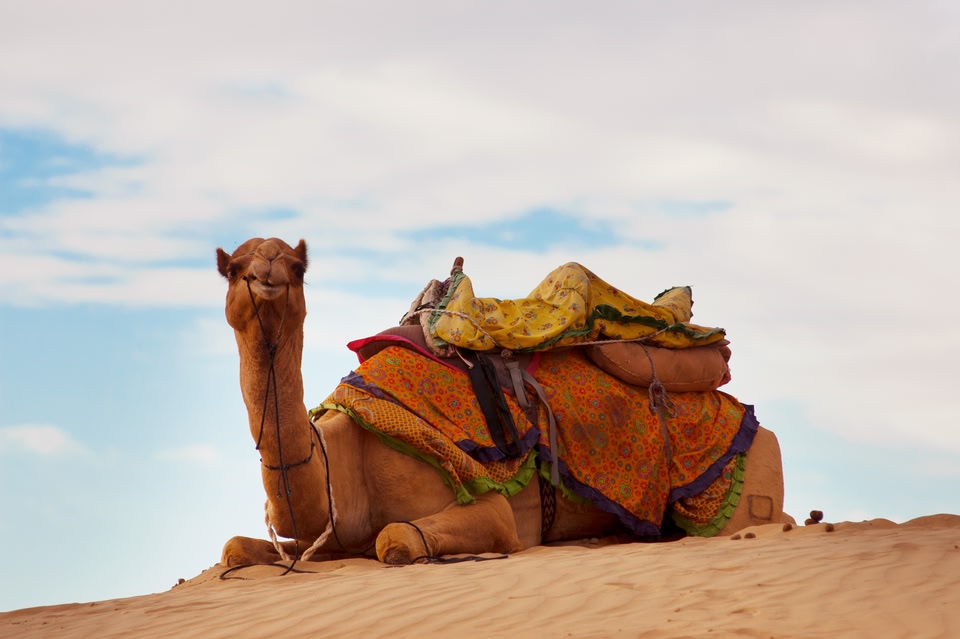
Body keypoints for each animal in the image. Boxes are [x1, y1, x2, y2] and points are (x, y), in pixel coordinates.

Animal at [217, 237, 790, 568]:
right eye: (234, 267)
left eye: (298, 266)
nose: (266, 277)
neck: (344, 460)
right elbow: (233, 547)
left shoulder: (486, 501)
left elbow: (395, 539)